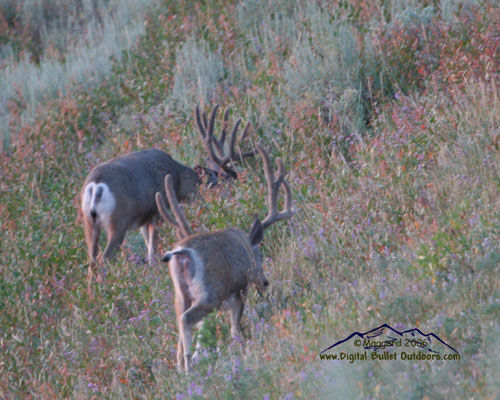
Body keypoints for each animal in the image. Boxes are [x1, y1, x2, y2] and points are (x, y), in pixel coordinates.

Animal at [81, 104, 256, 282]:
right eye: (228, 181)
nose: (240, 194)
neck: (178, 180)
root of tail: (95, 186)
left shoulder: (144, 220)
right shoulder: (158, 211)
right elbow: (152, 253)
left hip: (89, 223)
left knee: (91, 262)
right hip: (118, 222)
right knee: (103, 259)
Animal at [156, 143, 292, 372]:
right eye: (260, 254)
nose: (265, 282)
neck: (245, 246)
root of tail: (182, 253)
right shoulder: (239, 288)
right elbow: (235, 329)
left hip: (180, 295)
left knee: (179, 335)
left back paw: (182, 369)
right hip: (210, 292)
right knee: (186, 320)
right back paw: (190, 369)